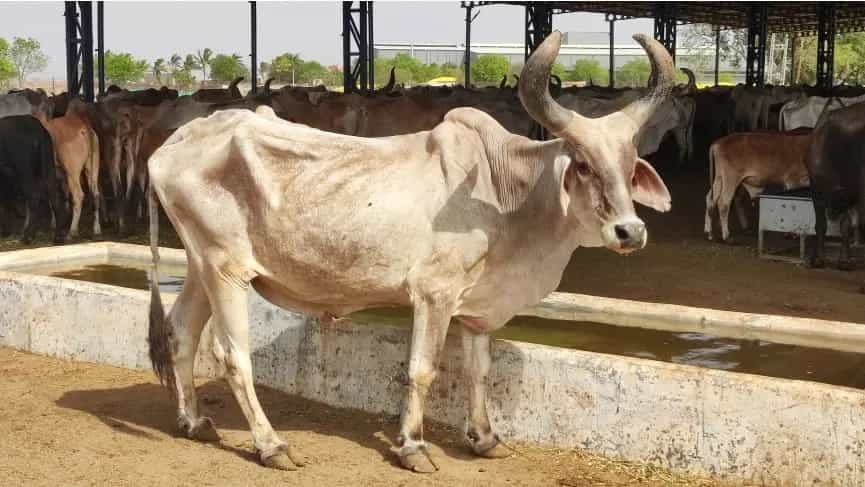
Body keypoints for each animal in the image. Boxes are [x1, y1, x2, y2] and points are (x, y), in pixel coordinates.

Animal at [0, 115, 69, 244]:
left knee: (34, 196)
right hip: (48, 166)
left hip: (25, 170)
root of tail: (39, 128)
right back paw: (58, 237)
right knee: (54, 196)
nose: (5, 233)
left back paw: (28, 236)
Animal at [145, 32, 673, 473]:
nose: (630, 231)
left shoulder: (477, 305)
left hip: (200, 266)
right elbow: (422, 371)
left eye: (631, 167)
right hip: (226, 270)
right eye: (583, 165)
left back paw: (194, 422)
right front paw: (413, 447)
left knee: (180, 333)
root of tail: (170, 146)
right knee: (232, 355)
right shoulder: (434, 294)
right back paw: (272, 445)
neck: (506, 193)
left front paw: (484, 439)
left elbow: (479, 370)